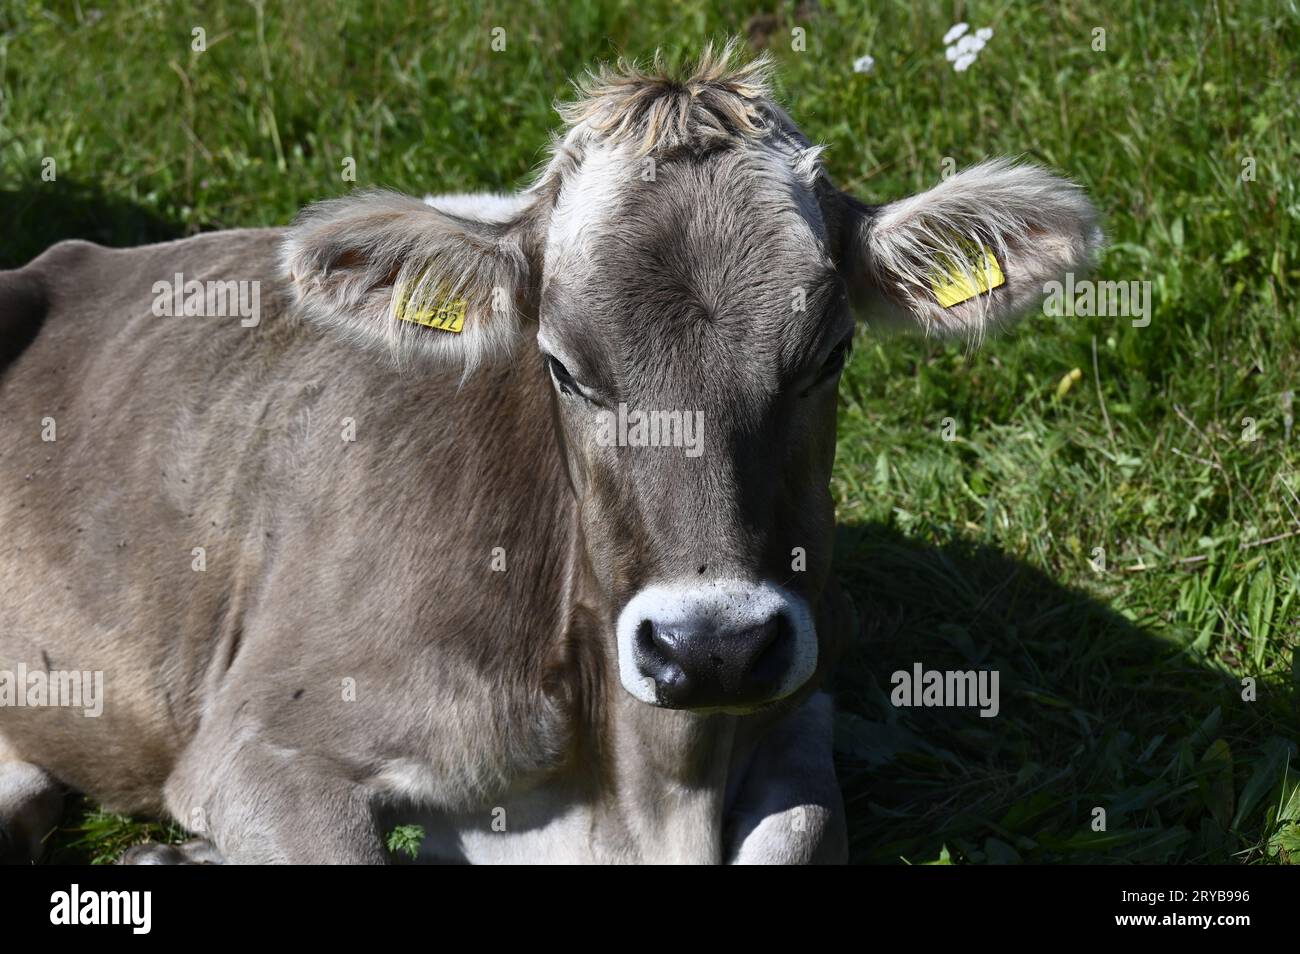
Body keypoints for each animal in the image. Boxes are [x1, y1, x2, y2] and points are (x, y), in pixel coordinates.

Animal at [0, 42, 1097, 868]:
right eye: (562, 366)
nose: (712, 647)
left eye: (829, 354)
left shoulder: (801, 703)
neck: (643, 794)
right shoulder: (264, 745)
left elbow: (803, 833)